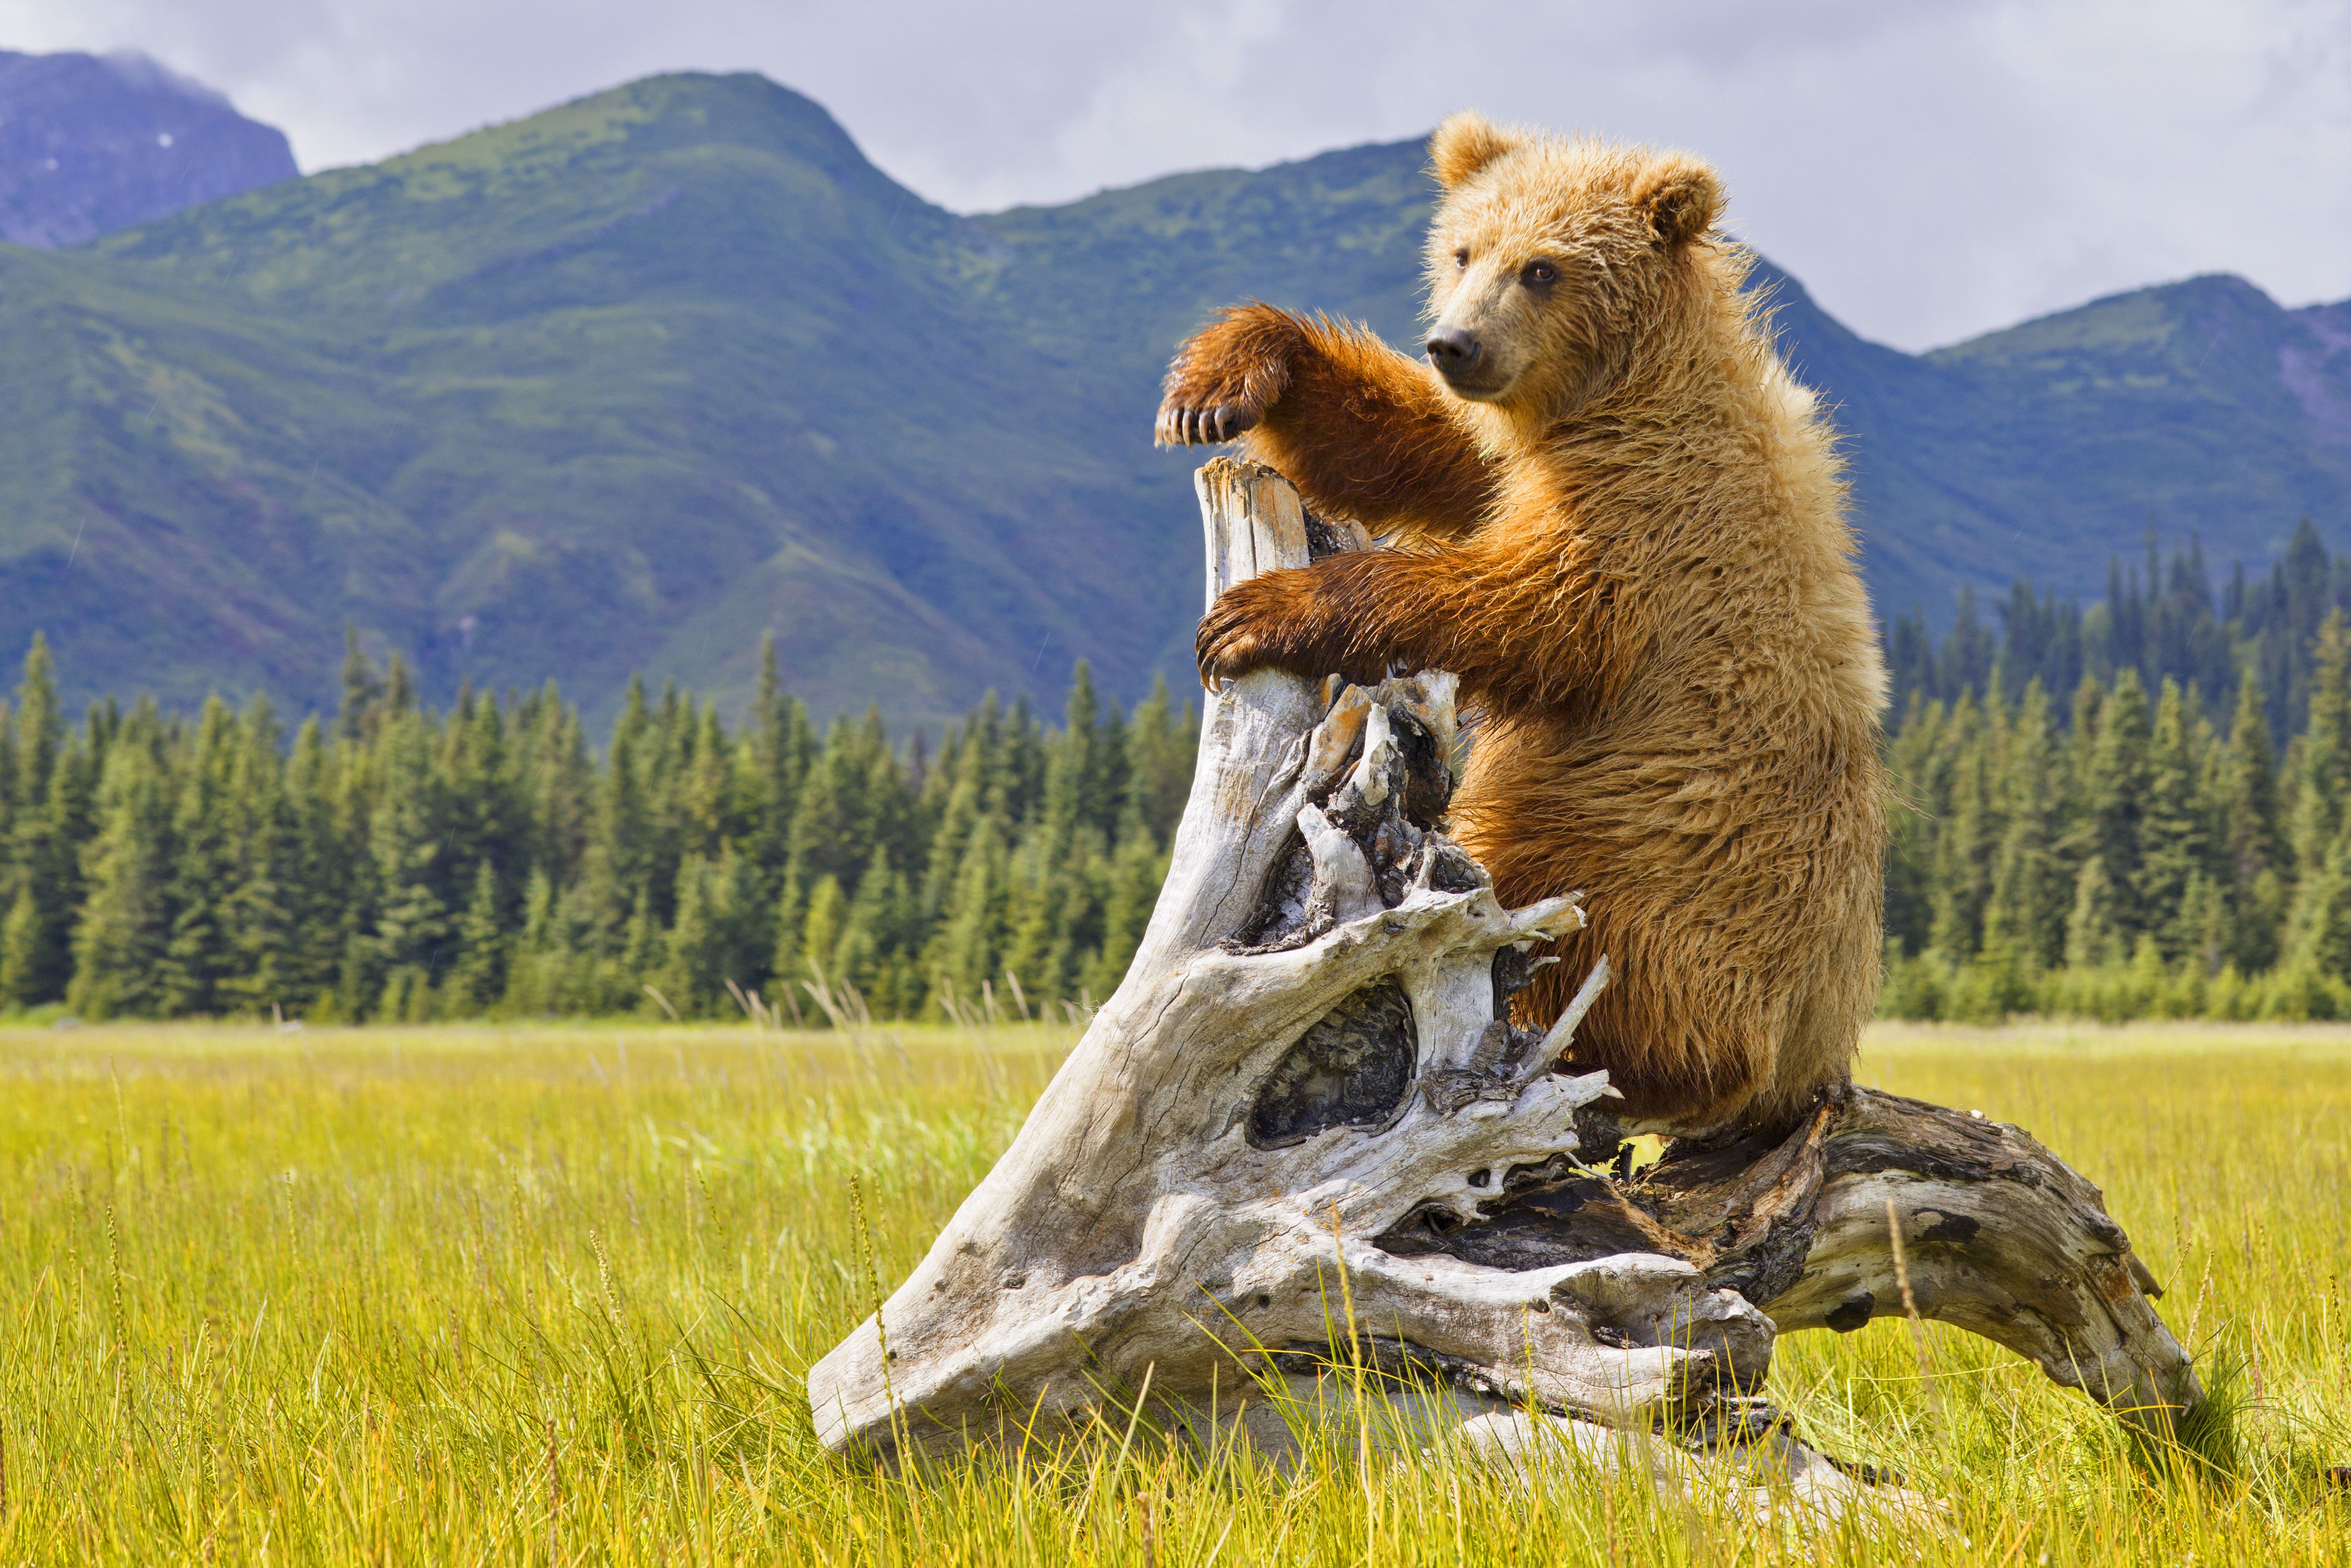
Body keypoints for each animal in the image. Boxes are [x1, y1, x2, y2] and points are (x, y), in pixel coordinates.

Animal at [1156, 116, 1890, 1133]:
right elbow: (1419, 447)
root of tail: (1816, 1048)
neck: (1610, 392)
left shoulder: (1652, 511)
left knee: (1577, 929)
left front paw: (1257, 614)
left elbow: (1532, 609)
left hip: (1661, 859)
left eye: (1542, 268)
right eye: (1464, 248)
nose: (1454, 343)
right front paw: (1224, 378)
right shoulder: (1514, 449)